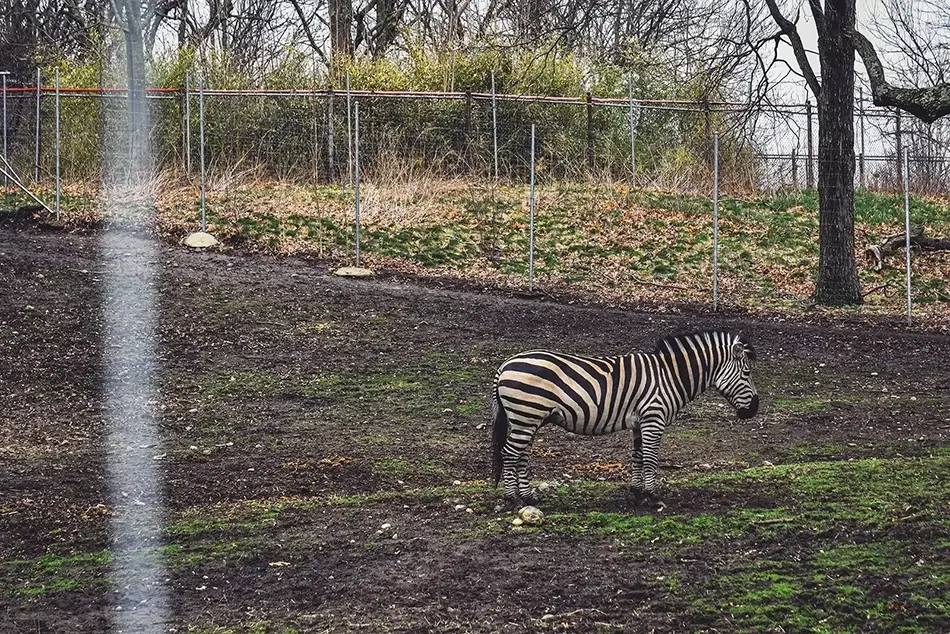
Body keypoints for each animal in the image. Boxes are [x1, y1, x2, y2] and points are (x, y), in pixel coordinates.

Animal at [491, 330, 759, 509]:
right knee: (510, 454)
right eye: (747, 373)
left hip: (527, 418)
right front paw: (654, 496)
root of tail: (506, 363)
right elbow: (651, 458)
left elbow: (638, 456)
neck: (670, 376)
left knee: (521, 455)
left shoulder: (641, 423)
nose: (754, 409)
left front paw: (638, 493)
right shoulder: (654, 418)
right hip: (526, 415)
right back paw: (513, 499)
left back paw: (528, 497)